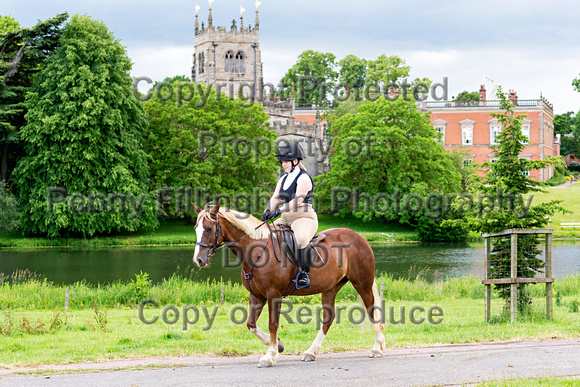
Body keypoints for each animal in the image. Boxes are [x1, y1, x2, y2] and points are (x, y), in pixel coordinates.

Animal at [193, 205, 388, 368]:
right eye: (196, 228)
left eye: (209, 228)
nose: (199, 260)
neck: (256, 250)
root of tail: (360, 237)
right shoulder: (257, 296)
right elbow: (251, 324)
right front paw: (278, 345)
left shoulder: (273, 295)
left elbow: (273, 324)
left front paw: (270, 356)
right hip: (330, 288)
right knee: (328, 318)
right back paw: (311, 352)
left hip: (362, 283)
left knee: (372, 310)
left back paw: (377, 348)